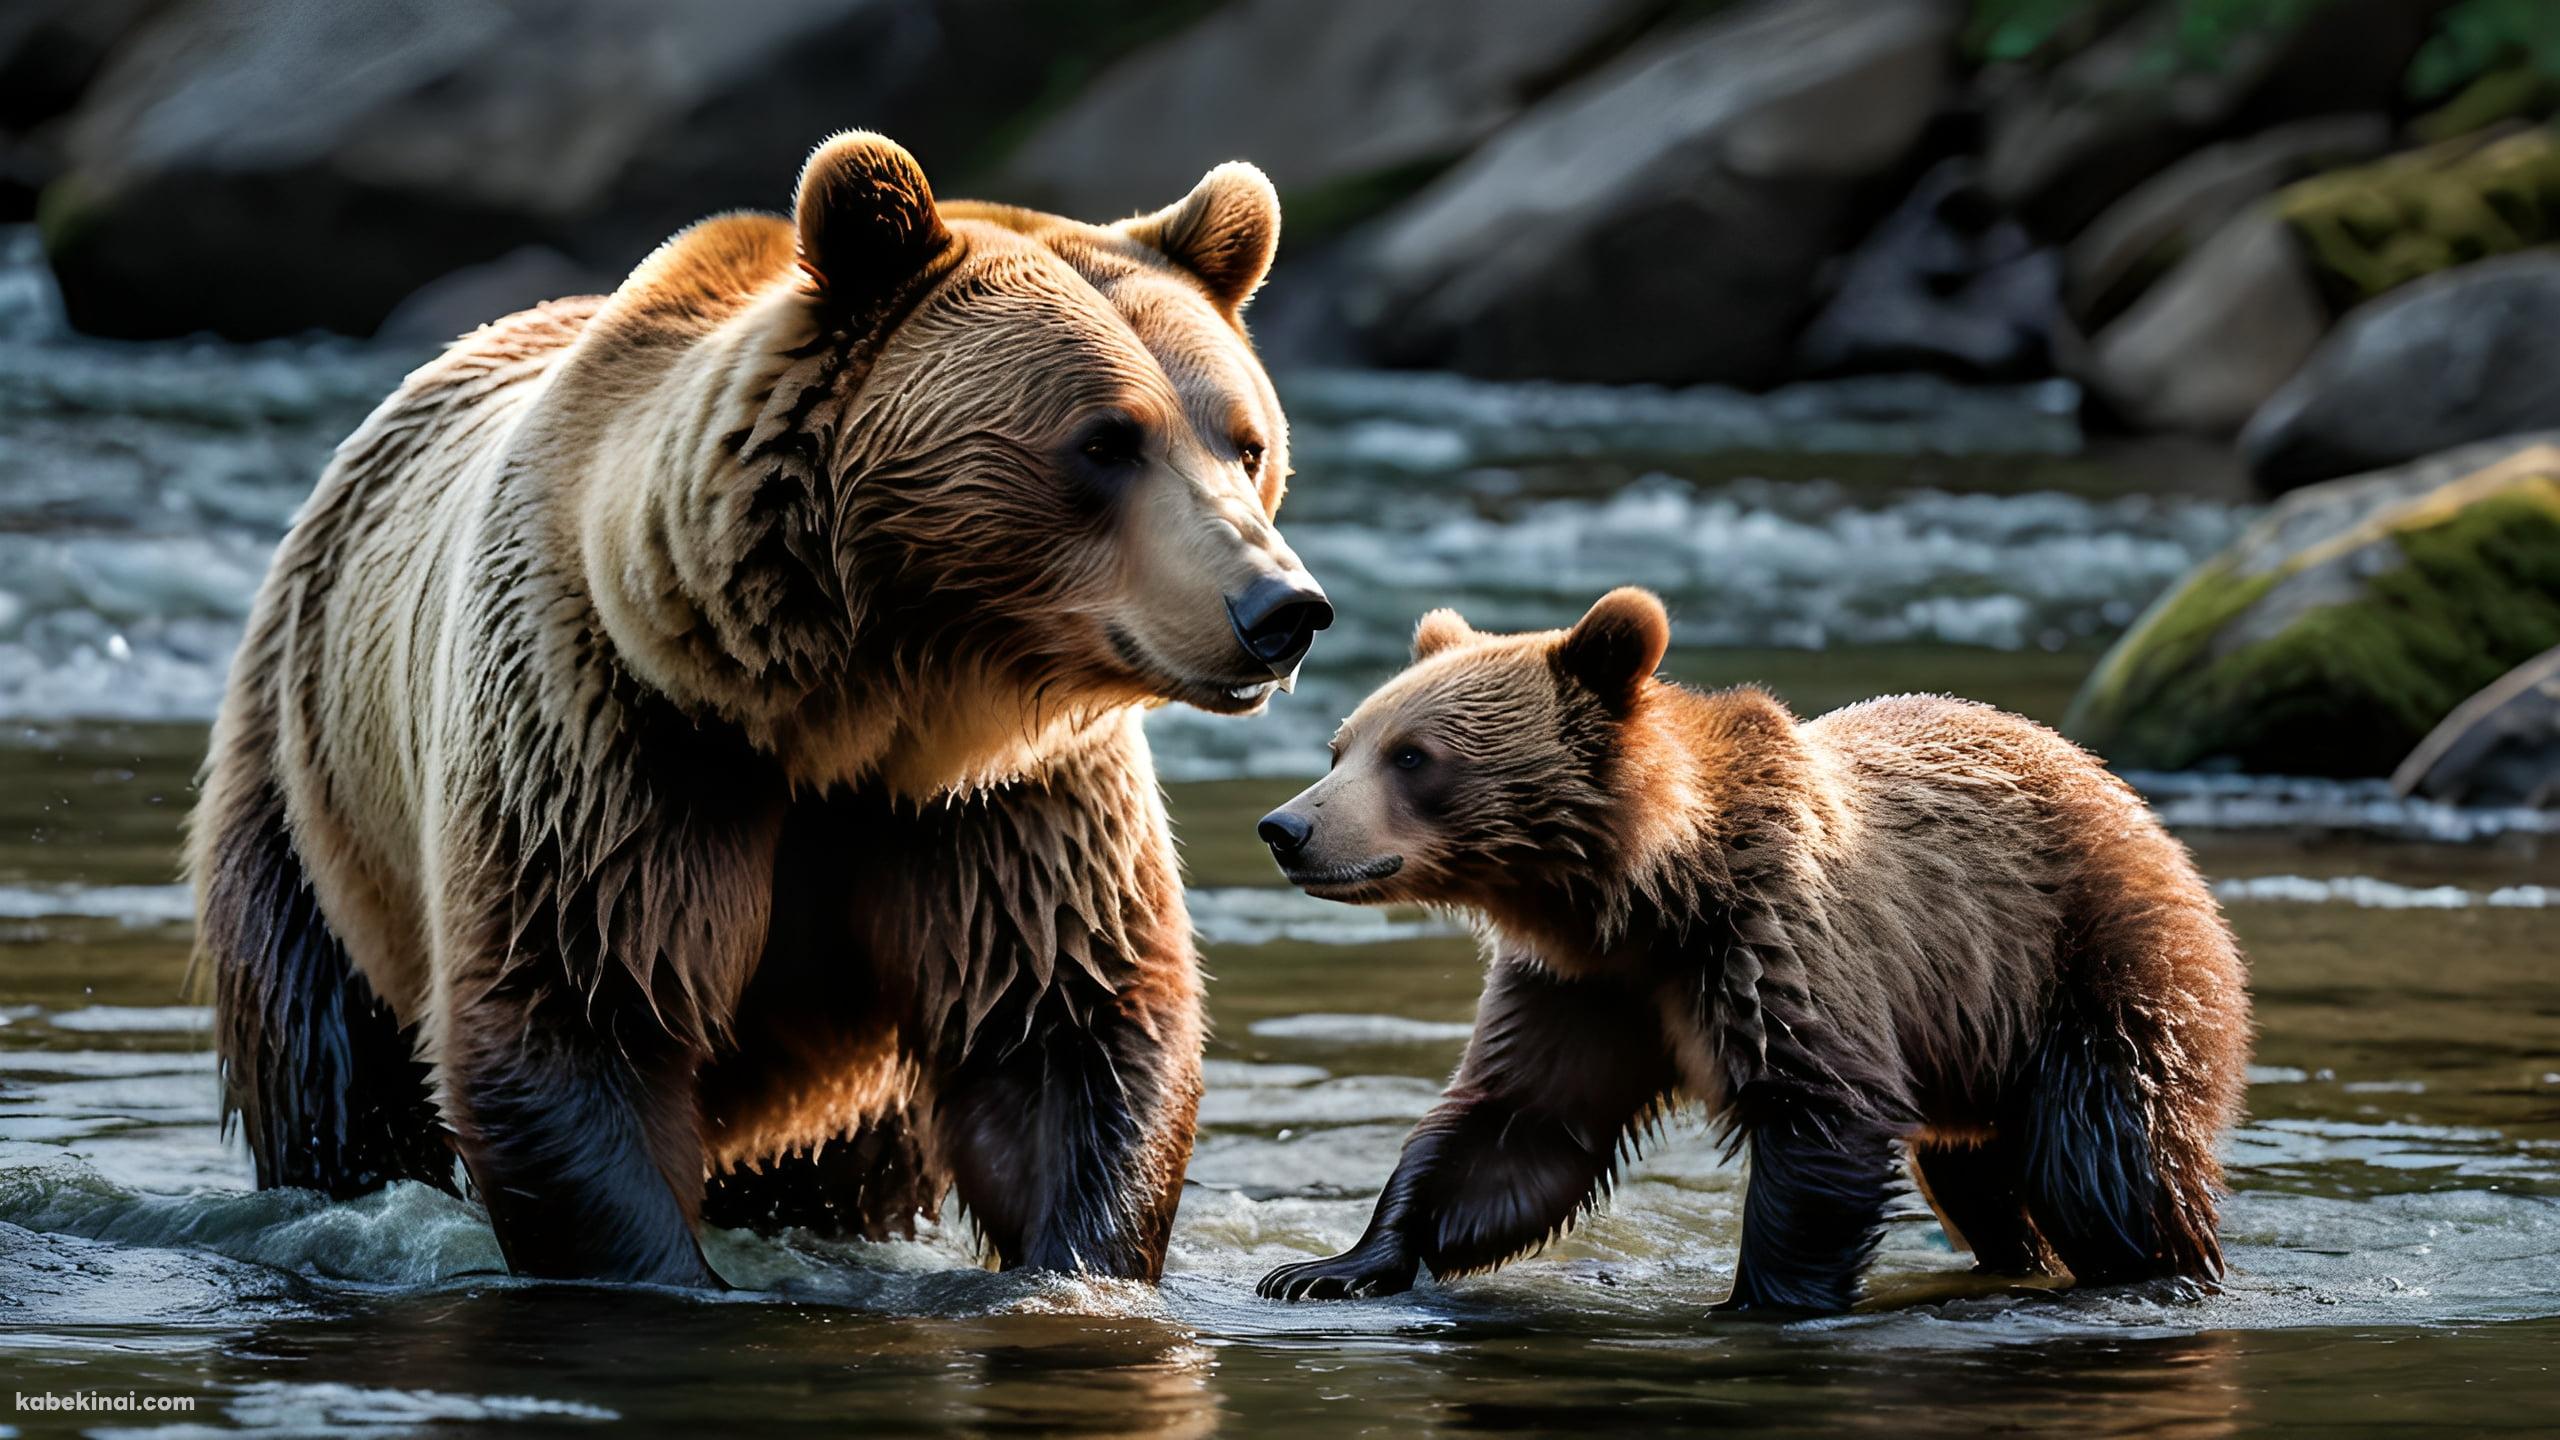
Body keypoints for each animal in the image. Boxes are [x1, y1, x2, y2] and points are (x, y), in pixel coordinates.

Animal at [189, 131, 1331, 1276]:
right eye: (1103, 440)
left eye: (1244, 441)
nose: (1281, 608)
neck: (849, 708)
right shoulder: (614, 736)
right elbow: (578, 1007)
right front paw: (659, 1270)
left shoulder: (1004, 807)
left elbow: (1060, 1025)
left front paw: (1077, 1263)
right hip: (311, 788)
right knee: (329, 1062)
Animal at [1254, 589, 2242, 1306]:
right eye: (1342, 745)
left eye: (1412, 757)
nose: (1286, 828)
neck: (1647, 894)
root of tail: (2133, 801)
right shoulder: (1583, 988)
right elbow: (1519, 1126)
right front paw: (1326, 1266)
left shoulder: (1775, 946)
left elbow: (1822, 1118)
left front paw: (1755, 1302)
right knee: (1980, 1178)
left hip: (2089, 961)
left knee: (2103, 1153)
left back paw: (2158, 1267)